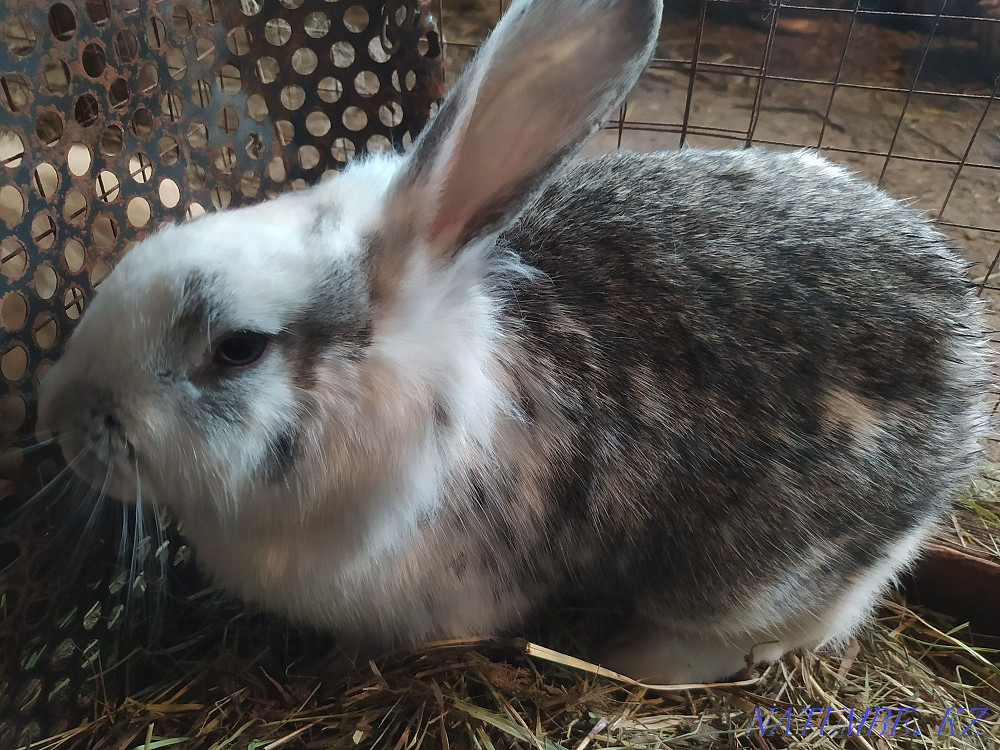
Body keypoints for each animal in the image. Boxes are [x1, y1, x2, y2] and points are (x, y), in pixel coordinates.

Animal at [36, 0, 990, 684]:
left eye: (237, 349)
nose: (63, 418)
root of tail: (970, 351)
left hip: (764, 572)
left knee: (747, 636)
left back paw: (628, 661)